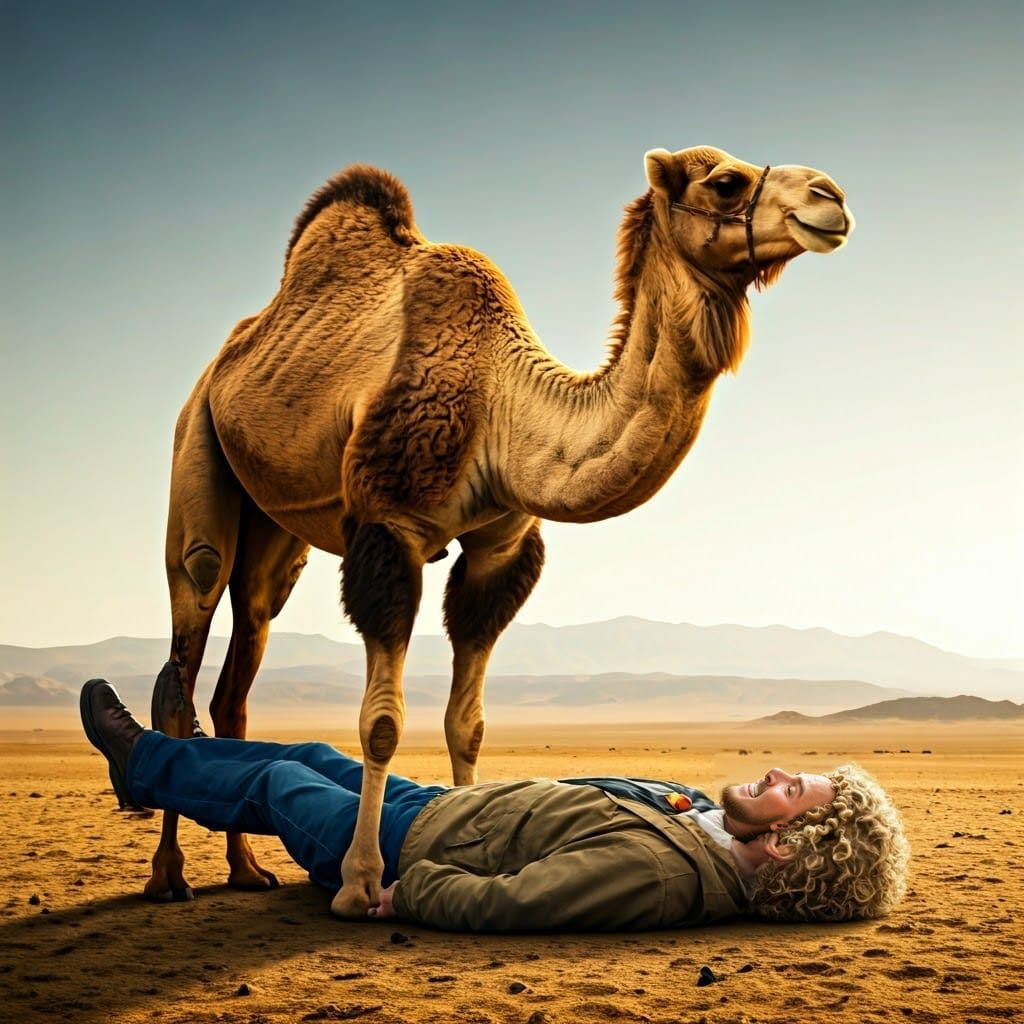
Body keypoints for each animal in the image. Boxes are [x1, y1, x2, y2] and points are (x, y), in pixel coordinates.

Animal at [145, 145, 854, 917]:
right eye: (725, 182)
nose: (833, 199)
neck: (499, 402)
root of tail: (225, 360)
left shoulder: (501, 548)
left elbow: (469, 721)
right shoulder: (387, 526)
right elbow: (382, 723)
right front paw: (359, 884)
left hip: (276, 529)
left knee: (243, 650)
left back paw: (245, 870)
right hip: (197, 445)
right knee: (190, 626)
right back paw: (168, 877)